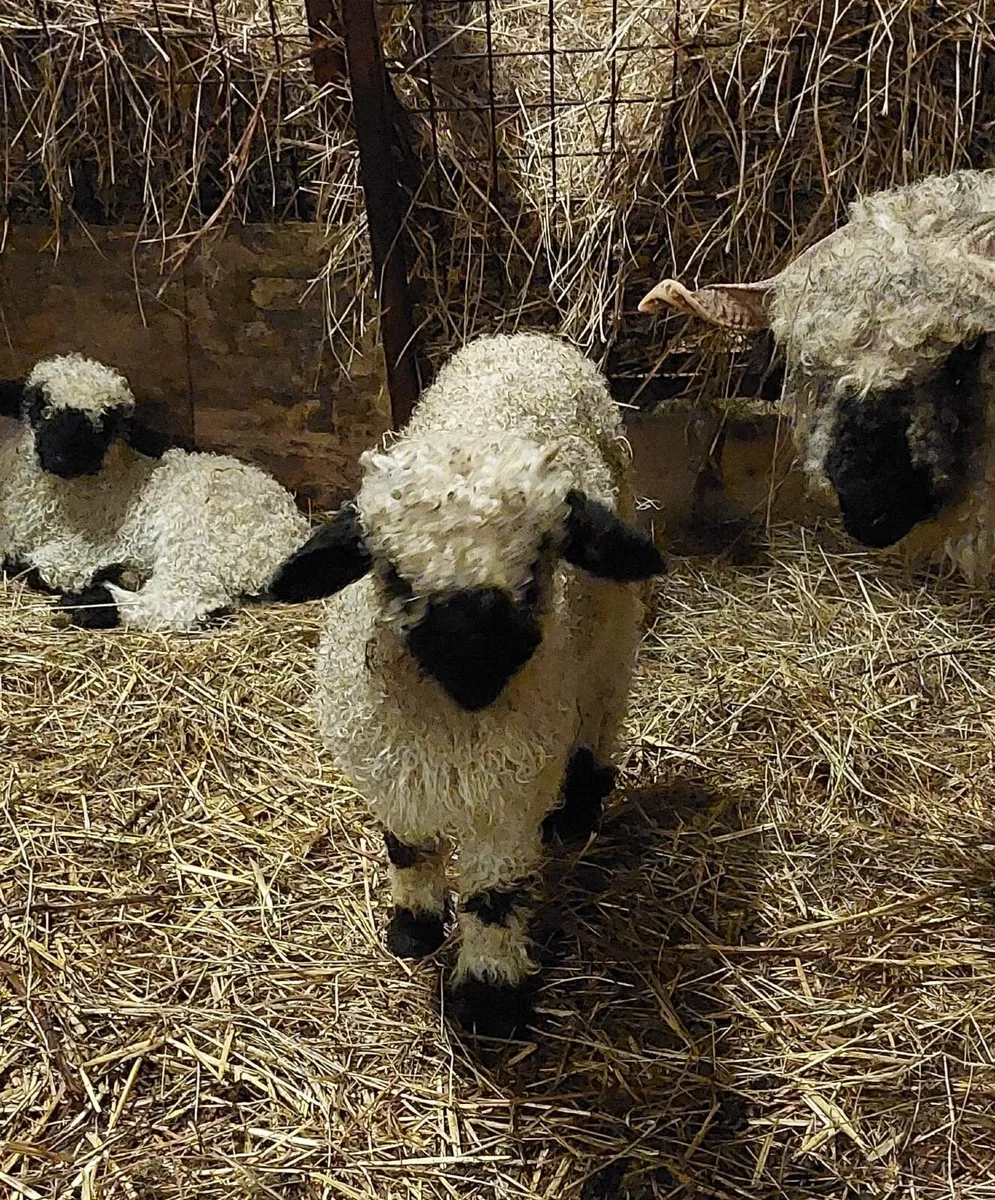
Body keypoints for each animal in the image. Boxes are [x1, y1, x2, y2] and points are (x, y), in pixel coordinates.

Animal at [0, 353, 311, 630]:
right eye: (41, 408)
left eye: (103, 424)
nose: (60, 459)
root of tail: (292, 531)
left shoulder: (80, 550)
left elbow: (43, 568)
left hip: (199, 541)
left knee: (180, 600)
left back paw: (93, 606)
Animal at [269, 331, 666, 1039]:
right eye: (395, 575)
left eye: (537, 567)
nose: (478, 670)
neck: (453, 727)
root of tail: (525, 339)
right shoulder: (391, 772)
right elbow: (409, 851)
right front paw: (413, 930)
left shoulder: (507, 797)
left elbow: (492, 897)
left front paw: (487, 997)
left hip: (611, 631)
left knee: (599, 711)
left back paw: (578, 812)